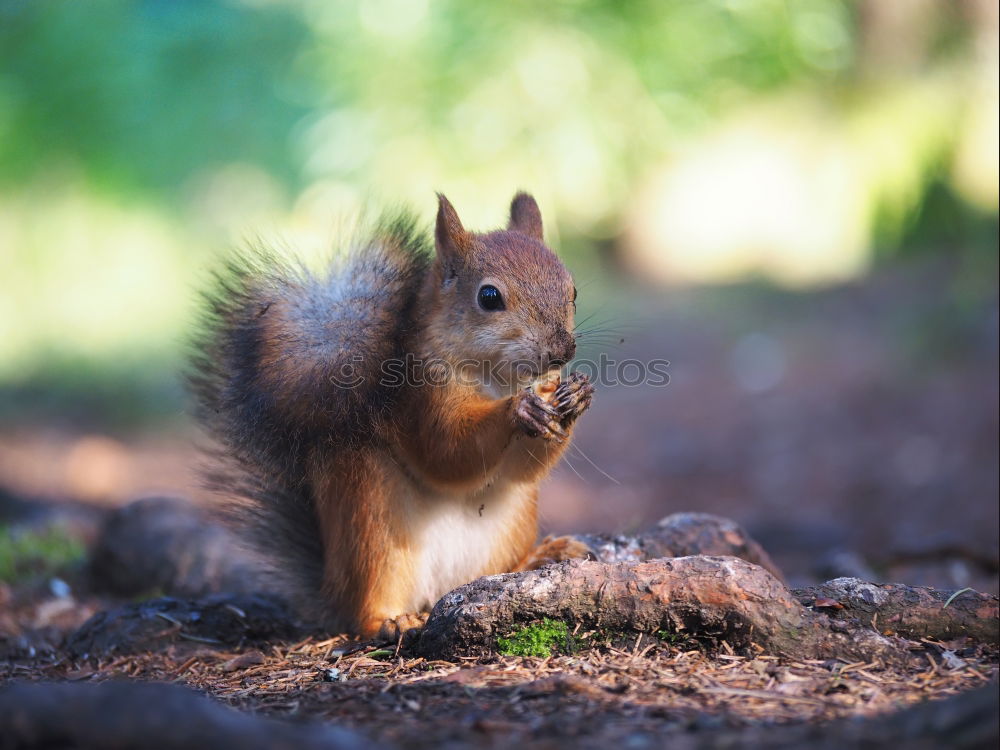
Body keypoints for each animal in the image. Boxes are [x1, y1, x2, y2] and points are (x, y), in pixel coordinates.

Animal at [190, 194, 588, 640]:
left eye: (572, 289)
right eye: (489, 297)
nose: (562, 350)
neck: (496, 378)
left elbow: (520, 470)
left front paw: (574, 397)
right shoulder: (418, 399)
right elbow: (446, 452)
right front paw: (518, 410)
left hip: (511, 523)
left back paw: (540, 557)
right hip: (371, 520)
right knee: (367, 605)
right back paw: (390, 620)